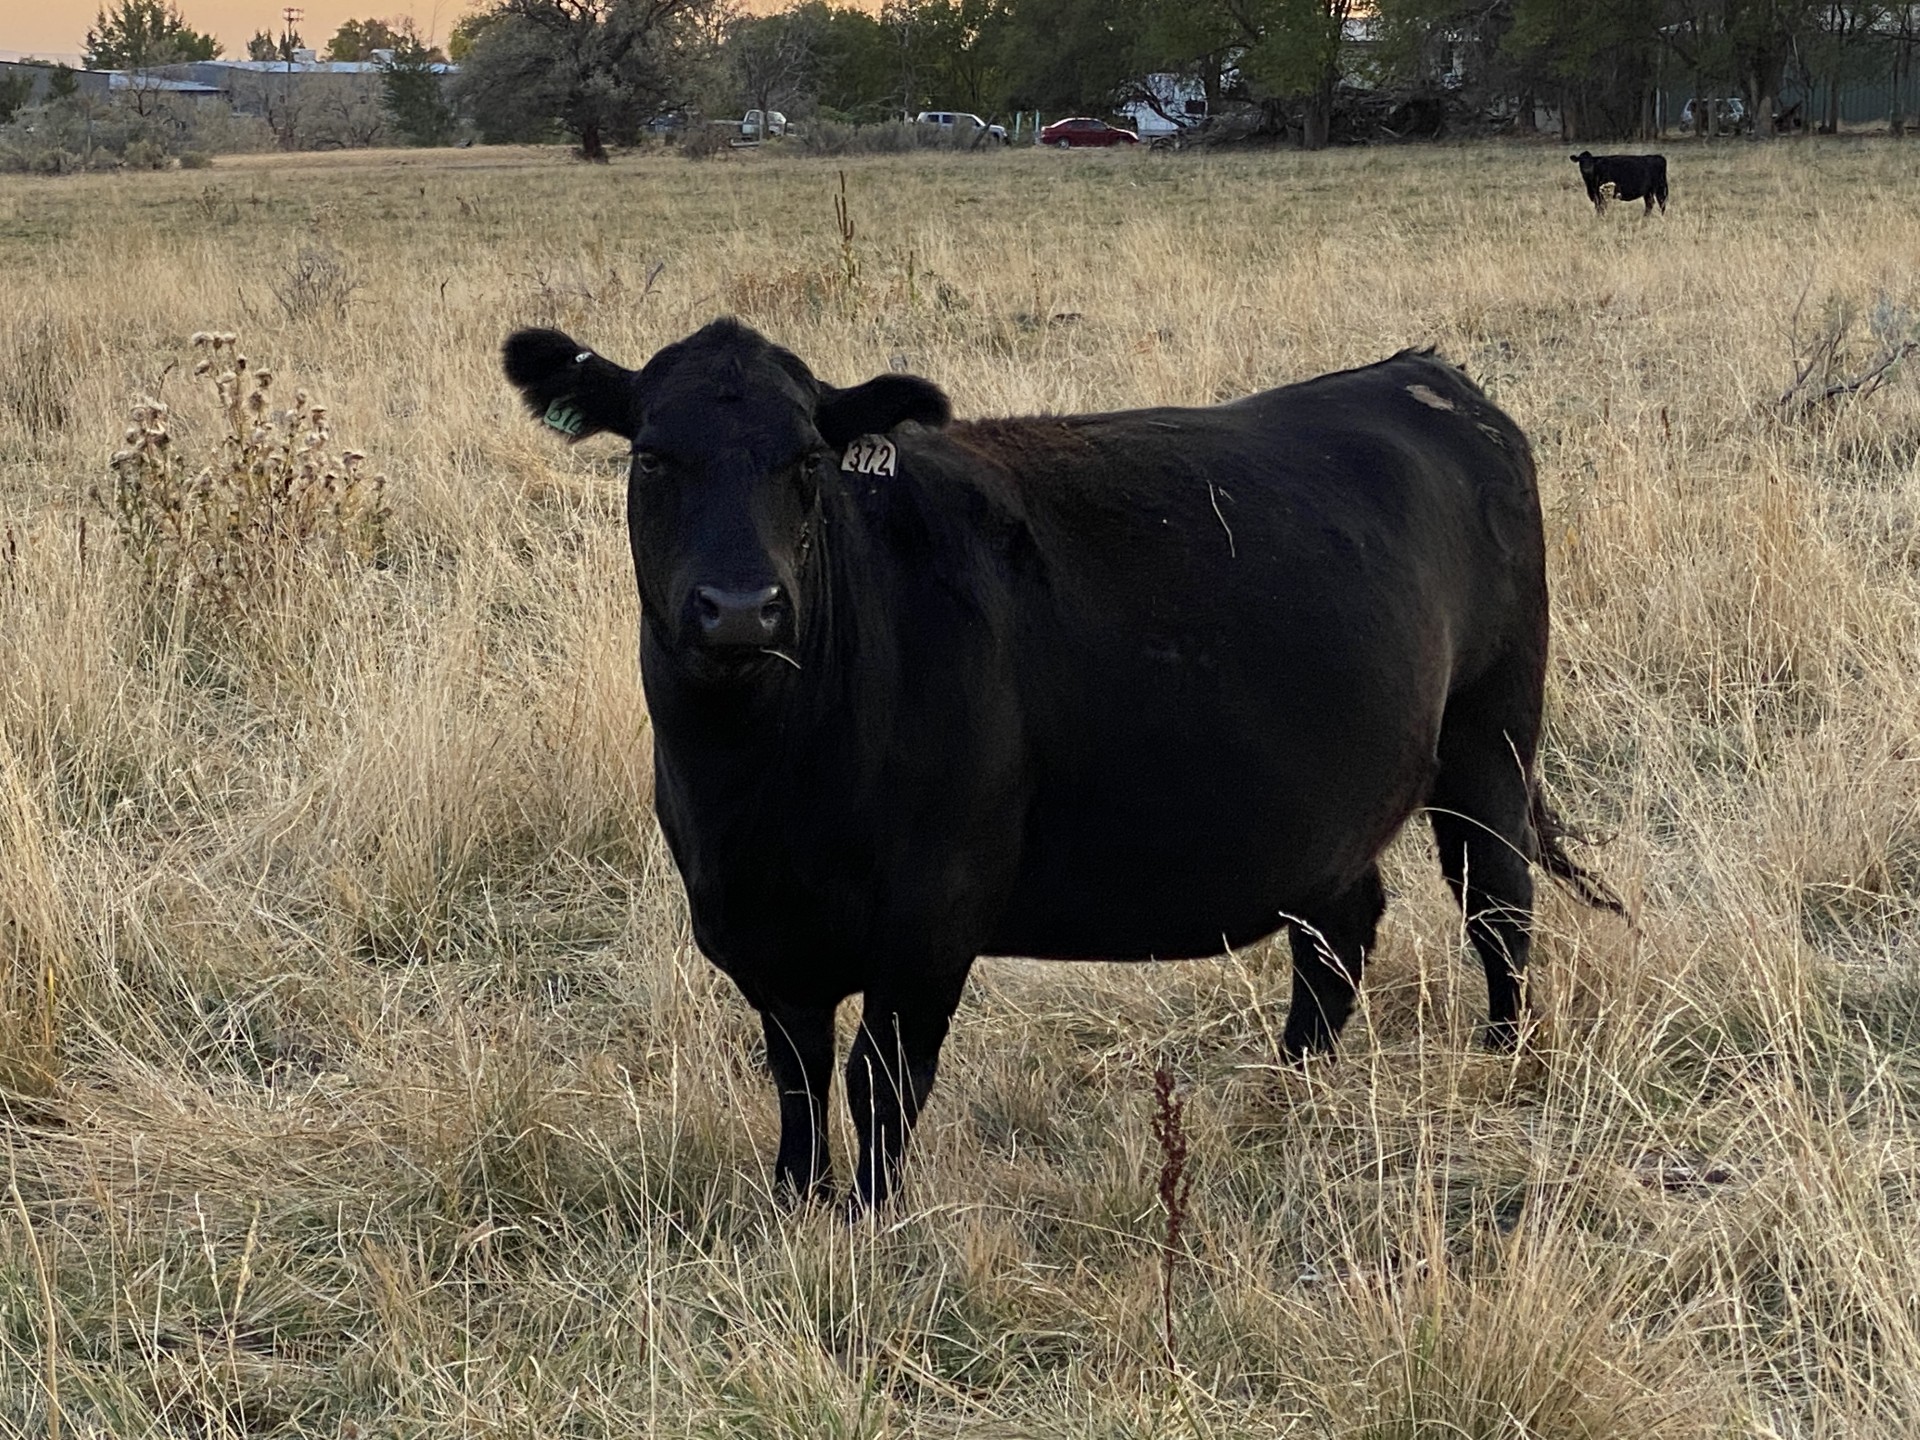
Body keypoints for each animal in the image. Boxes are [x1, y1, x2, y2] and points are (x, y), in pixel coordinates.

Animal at [502, 318, 1624, 1210]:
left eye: (808, 464)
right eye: (653, 458)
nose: (741, 608)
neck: (757, 790)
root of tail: (1425, 374)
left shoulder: (931, 921)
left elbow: (880, 1081)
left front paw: (870, 1218)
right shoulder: (763, 937)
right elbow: (797, 1078)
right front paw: (794, 1199)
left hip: (1490, 734)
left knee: (1496, 898)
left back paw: (1503, 1057)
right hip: (1331, 805)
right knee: (1338, 935)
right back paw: (1288, 1091)